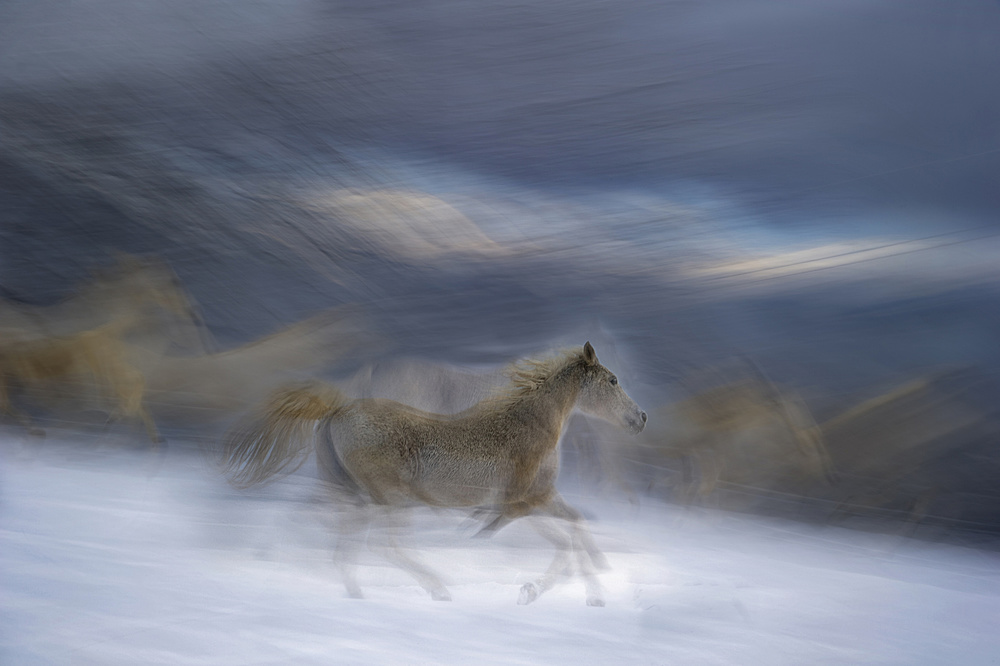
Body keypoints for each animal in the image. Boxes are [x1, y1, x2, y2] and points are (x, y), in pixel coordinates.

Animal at [224, 340, 648, 604]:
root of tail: (337, 409)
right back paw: (439, 589)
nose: (641, 418)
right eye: (613, 380)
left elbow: (576, 527)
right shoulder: (521, 502)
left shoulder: (541, 498)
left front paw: (594, 593)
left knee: (330, 536)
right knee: (380, 545)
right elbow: (565, 543)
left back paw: (348, 590)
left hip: (352, 493)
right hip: (389, 498)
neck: (529, 426)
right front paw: (531, 591)